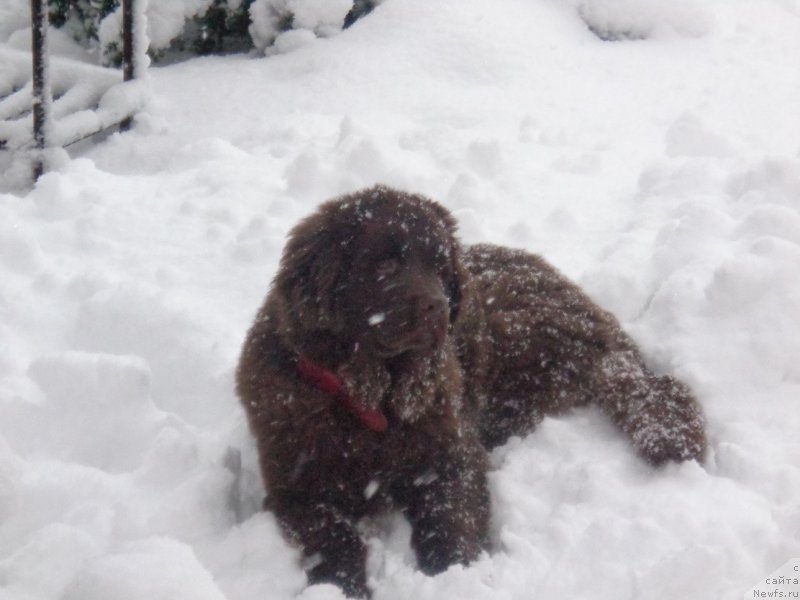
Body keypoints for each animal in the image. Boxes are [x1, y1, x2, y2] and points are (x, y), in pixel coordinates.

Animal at [233, 185, 708, 596]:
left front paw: (453, 575)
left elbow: (450, 516)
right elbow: (333, 539)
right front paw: (341, 587)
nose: (438, 307)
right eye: (384, 266)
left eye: (439, 268)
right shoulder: (297, 486)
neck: (372, 398)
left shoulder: (450, 453)